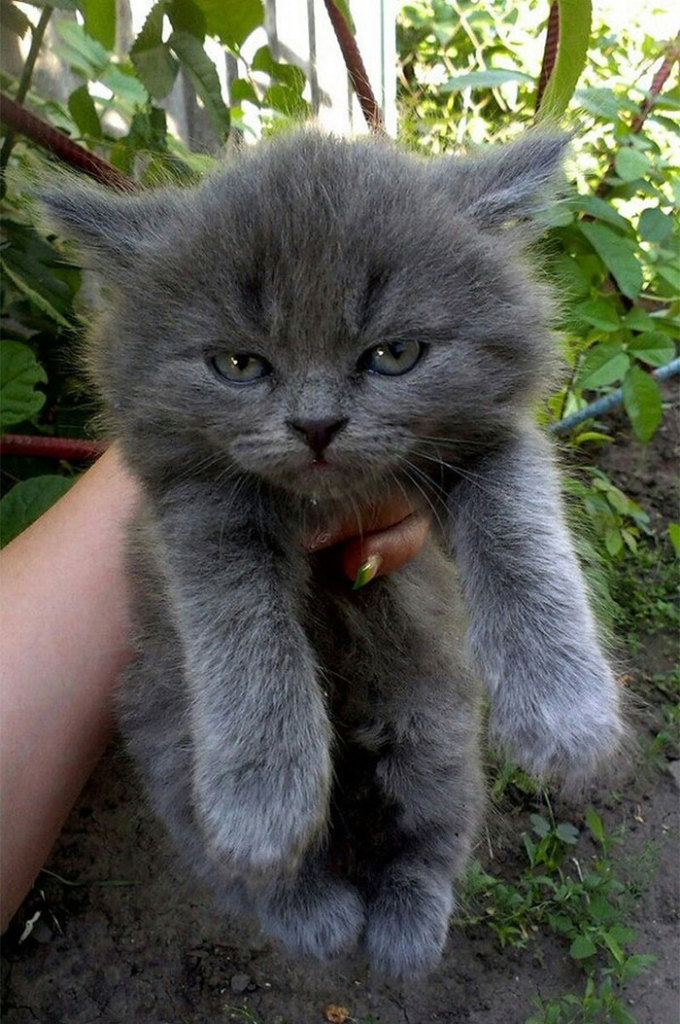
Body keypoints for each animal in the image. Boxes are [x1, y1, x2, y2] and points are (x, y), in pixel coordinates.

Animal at [42, 132, 622, 978]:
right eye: (240, 365)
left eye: (396, 355)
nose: (317, 425)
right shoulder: (194, 499)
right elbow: (240, 622)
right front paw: (262, 797)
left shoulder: (488, 443)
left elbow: (522, 532)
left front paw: (566, 709)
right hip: (166, 727)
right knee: (245, 869)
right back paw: (315, 913)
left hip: (433, 718)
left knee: (431, 834)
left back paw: (405, 931)